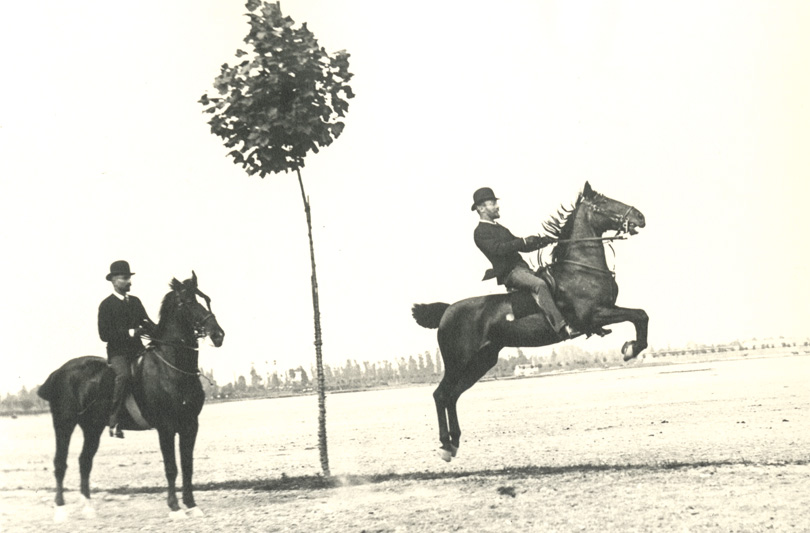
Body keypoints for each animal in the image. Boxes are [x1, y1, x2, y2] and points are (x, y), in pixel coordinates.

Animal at [36, 272, 223, 520]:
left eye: (207, 300)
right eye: (188, 302)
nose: (218, 335)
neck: (172, 368)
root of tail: (59, 372)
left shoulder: (190, 425)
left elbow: (187, 465)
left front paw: (192, 505)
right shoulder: (166, 427)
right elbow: (171, 467)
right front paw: (175, 508)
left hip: (92, 427)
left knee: (84, 461)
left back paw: (88, 508)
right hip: (64, 424)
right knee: (60, 462)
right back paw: (60, 511)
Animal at [414, 181, 648, 460]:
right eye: (603, 203)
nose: (640, 217)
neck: (580, 269)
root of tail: (447, 311)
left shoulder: (605, 312)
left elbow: (640, 316)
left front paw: (631, 348)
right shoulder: (594, 315)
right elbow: (640, 315)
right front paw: (630, 349)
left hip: (481, 361)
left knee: (452, 395)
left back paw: (454, 442)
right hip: (457, 361)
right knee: (441, 394)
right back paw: (445, 445)